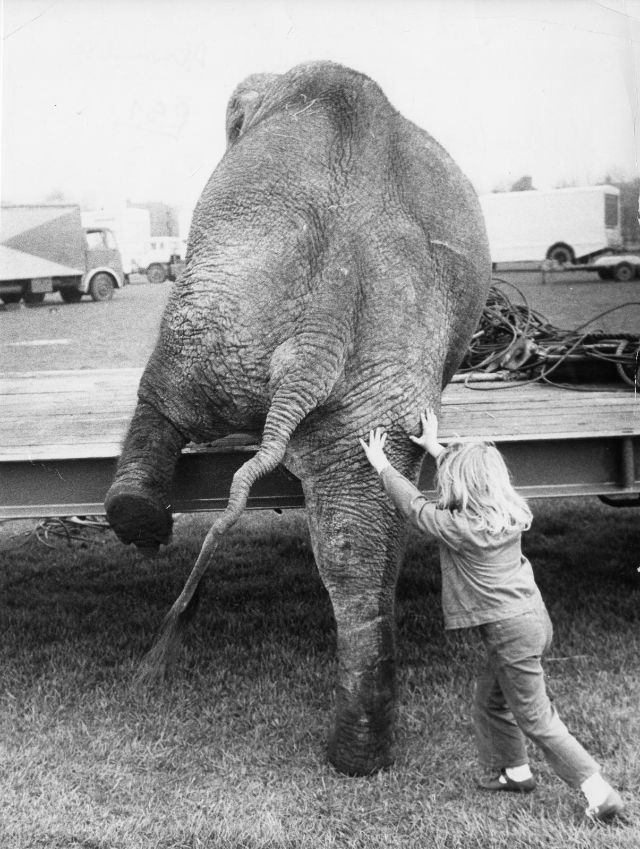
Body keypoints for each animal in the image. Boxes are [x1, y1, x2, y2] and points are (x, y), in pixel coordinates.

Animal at [106, 59, 490, 776]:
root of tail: (325, 313)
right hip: (372, 375)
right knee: (358, 534)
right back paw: (358, 753)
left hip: (216, 302)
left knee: (164, 394)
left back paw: (136, 515)